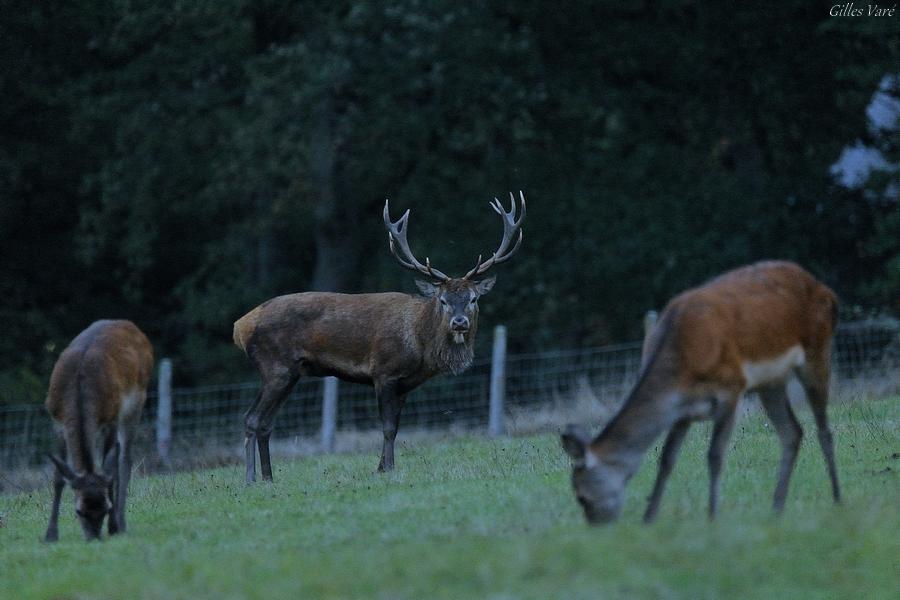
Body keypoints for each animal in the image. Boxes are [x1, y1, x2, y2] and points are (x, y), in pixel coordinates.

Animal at [44, 322, 154, 540]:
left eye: (105, 508)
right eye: (79, 511)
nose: (94, 538)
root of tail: (129, 325)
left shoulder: (110, 420)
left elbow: (110, 471)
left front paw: (114, 526)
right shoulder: (58, 423)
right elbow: (58, 476)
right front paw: (50, 534)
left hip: (136, 402)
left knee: (124, 460)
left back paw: (122, 522)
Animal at [236, 192, 524, 482]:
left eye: (473, 299)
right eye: (443, 300)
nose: (460, 322)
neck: (419, 344)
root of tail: (241, 325)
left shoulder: (405, 383)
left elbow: (395, 426)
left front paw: (382, 467)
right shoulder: (384, 372)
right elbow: (387, 427)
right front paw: (388, 469)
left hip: (291, 373)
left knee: (266, 423)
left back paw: (269, 477)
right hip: (275, 366)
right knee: (251, 419)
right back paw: (250, 478)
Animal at [564, 260, 844, 524]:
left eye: (581, 496)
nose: (597, 526)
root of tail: (827, 291)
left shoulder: (731, 387)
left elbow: (715, 455)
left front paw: (712, 515)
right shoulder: (682, 410)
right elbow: (666, 459)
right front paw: (649, 518)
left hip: (817, 350)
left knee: (824, 430)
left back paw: (837, 498)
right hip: (771, 382)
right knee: (792, 432)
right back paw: (776, 508)